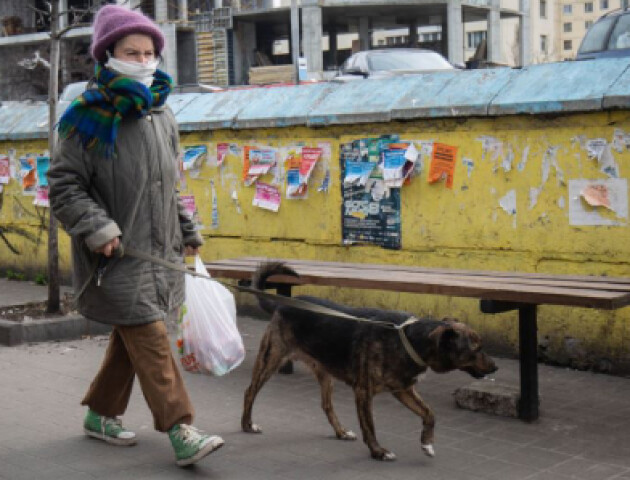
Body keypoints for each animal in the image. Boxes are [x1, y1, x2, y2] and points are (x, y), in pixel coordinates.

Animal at [242, 262, 498, 462]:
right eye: (477, 349)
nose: (496, 367)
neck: (408, 339)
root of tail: (282, 304)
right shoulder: (363, 392)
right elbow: (370, 425)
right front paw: (378, 452)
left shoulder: (403, 389)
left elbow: (429, 413)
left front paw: (427, 443)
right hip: (270, 360)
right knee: (250, 392)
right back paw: (247, 425)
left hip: (325, 371)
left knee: (326, 405)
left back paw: (341, 432)